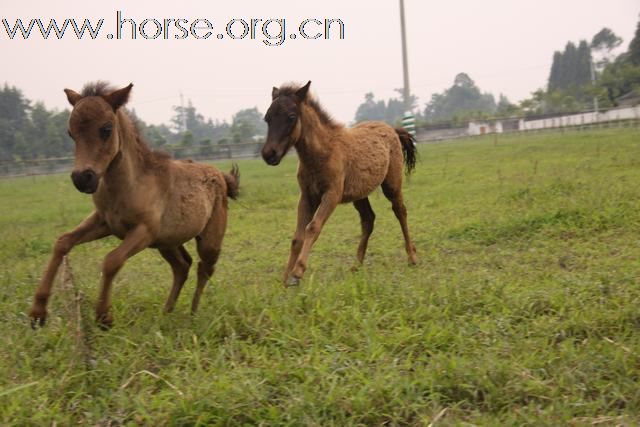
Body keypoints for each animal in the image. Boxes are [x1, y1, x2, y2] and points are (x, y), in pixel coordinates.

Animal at [30, 82, 240, 328]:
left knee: (204, 268)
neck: (130, 185)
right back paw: (166, 312)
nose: (83, 178)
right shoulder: (104, 222)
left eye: (106, 129)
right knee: (182, 266)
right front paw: (38, 312)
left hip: (208, 240)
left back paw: (192, 314)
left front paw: (104, 316)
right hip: (167, 242)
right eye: (70, 133)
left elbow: (111, 260)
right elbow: (62, 242)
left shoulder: (144, 231)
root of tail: (220, 175)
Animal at [262, 81, 418, 286]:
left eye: (291, 116)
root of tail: (392, 129)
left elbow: (313, 227)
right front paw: (286, 277)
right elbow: (297, 237)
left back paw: (412, 257)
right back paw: (356, 266)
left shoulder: (332, 195)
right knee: (368, 220)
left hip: (391, 184)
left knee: (400, 211)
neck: (321, 154)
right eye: (267, 118)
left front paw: (297, 272)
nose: (268, 154)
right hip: (359, 194)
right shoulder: (306, 196)